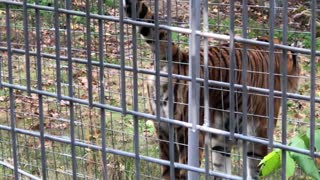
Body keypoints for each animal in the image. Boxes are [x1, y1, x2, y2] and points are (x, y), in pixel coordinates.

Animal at [122, 0, 300, 179]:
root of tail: (180, 57)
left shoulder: (220, 139)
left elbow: (221, 168)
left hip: (163, 130)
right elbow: (257, 168)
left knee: (168, 170)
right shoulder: (260, 131)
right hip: (188, 133)